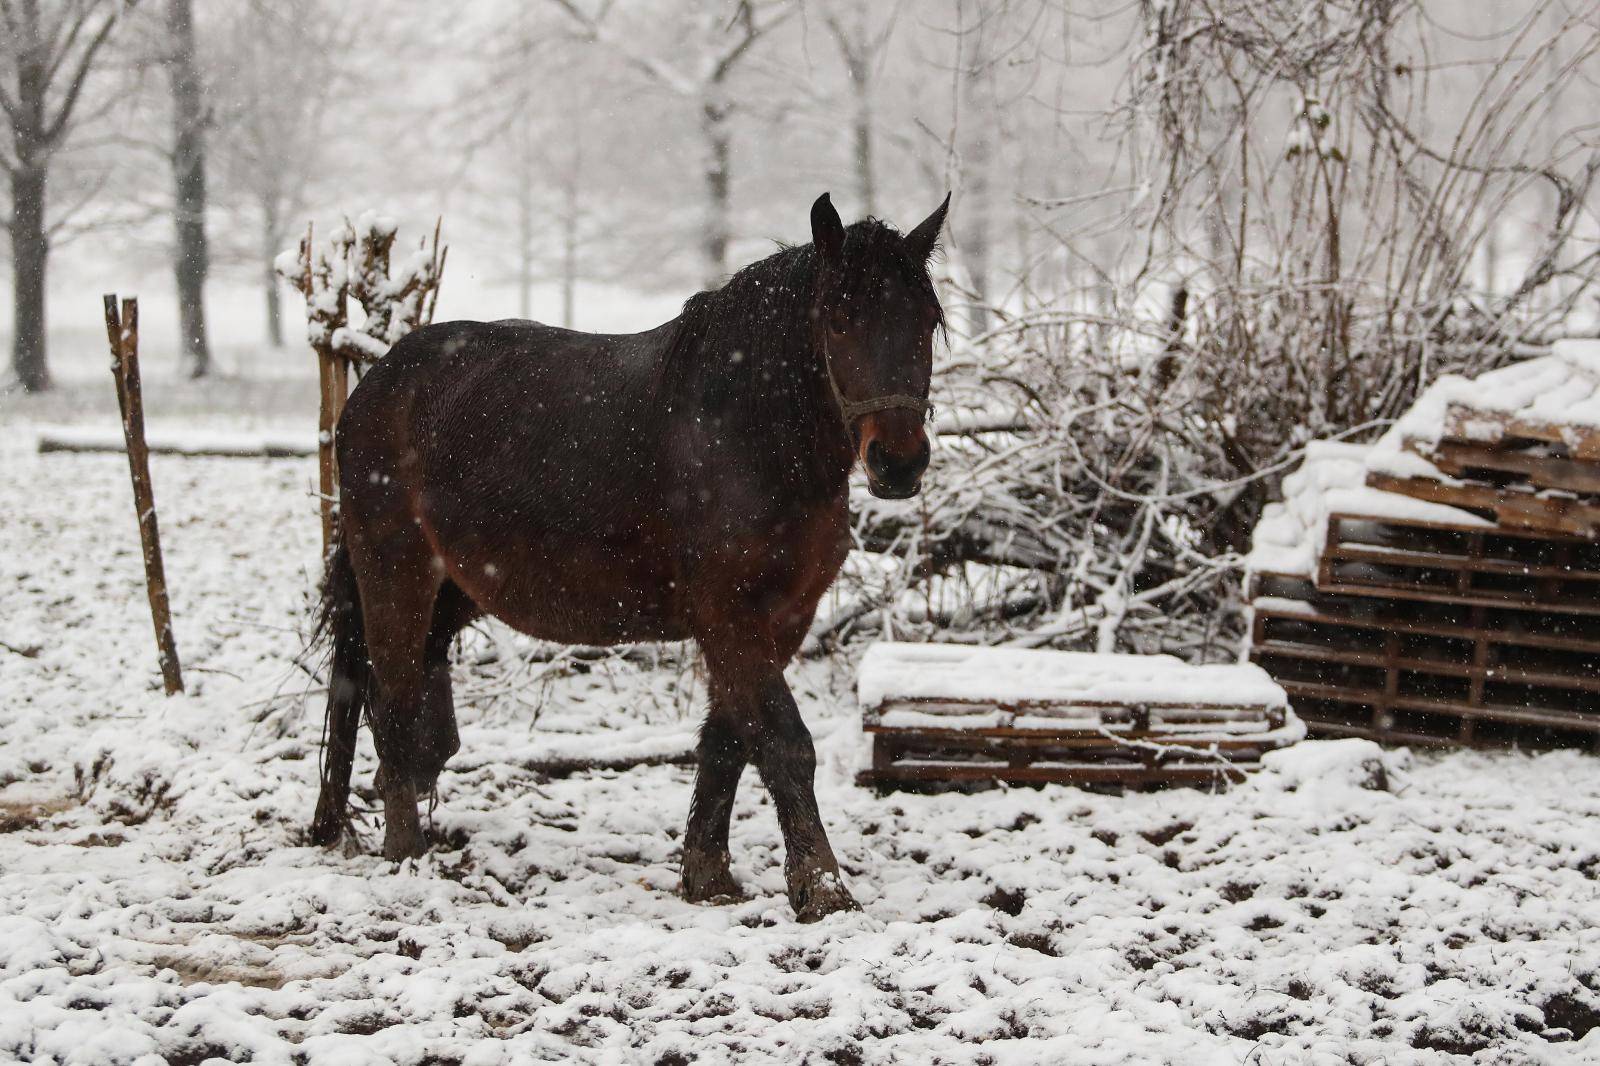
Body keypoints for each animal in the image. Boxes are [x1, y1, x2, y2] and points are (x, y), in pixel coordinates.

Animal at [305, 192, 940, 921]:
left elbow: (727, 741)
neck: (742, 428)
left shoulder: (782, 618)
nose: (898, 462)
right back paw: (406, 854)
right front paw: (822, 889)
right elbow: (783, 743)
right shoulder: (730, 616)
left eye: (928, 319)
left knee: (416, 723)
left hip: (452, 593)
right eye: (837, 319)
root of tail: (374, 385)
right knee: (392, 699)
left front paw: (707, 877)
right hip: (395, 578)